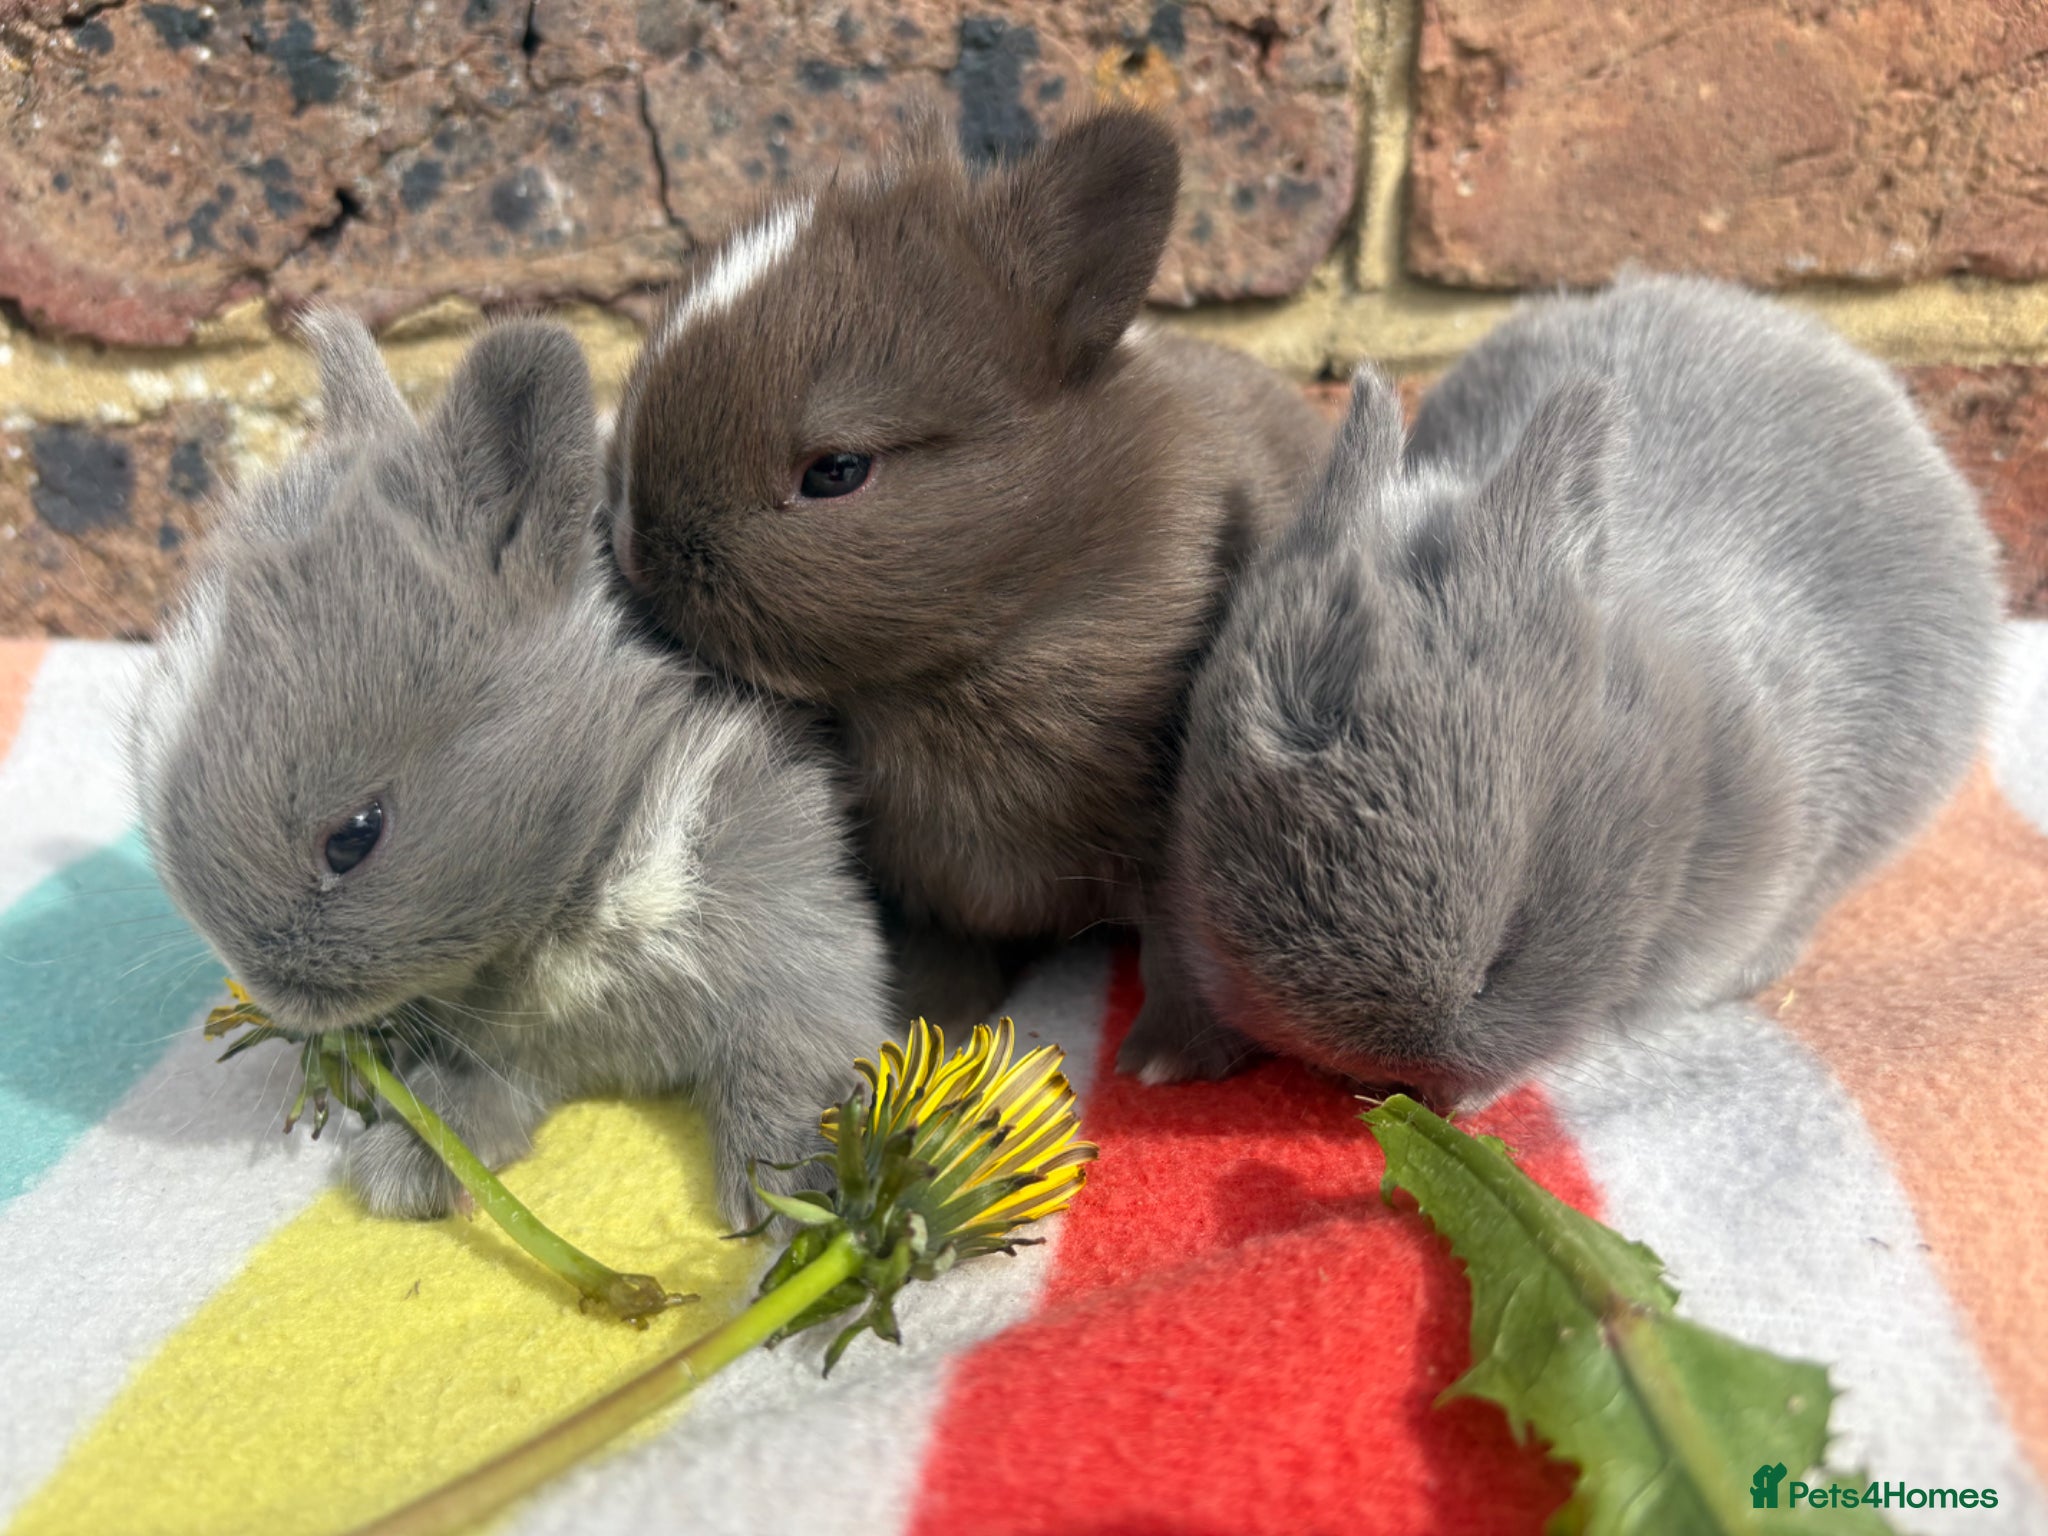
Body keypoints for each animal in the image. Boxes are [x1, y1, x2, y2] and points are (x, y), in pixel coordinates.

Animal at [128, 311, 894, 1224]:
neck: (590, 862)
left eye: (354, 836)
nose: (278, 997)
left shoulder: (793, 917)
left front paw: (797, 1191)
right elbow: (477, 1096)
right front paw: (410, 1163)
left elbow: (797, 1044)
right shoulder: (515, 1047)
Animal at [605, 105, 1331, 1024]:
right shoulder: (914, 885)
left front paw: (1168, 1049)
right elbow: (936, 954)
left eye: (837, 470)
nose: (631, 545)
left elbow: (1182, 956)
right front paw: (934, 1024)